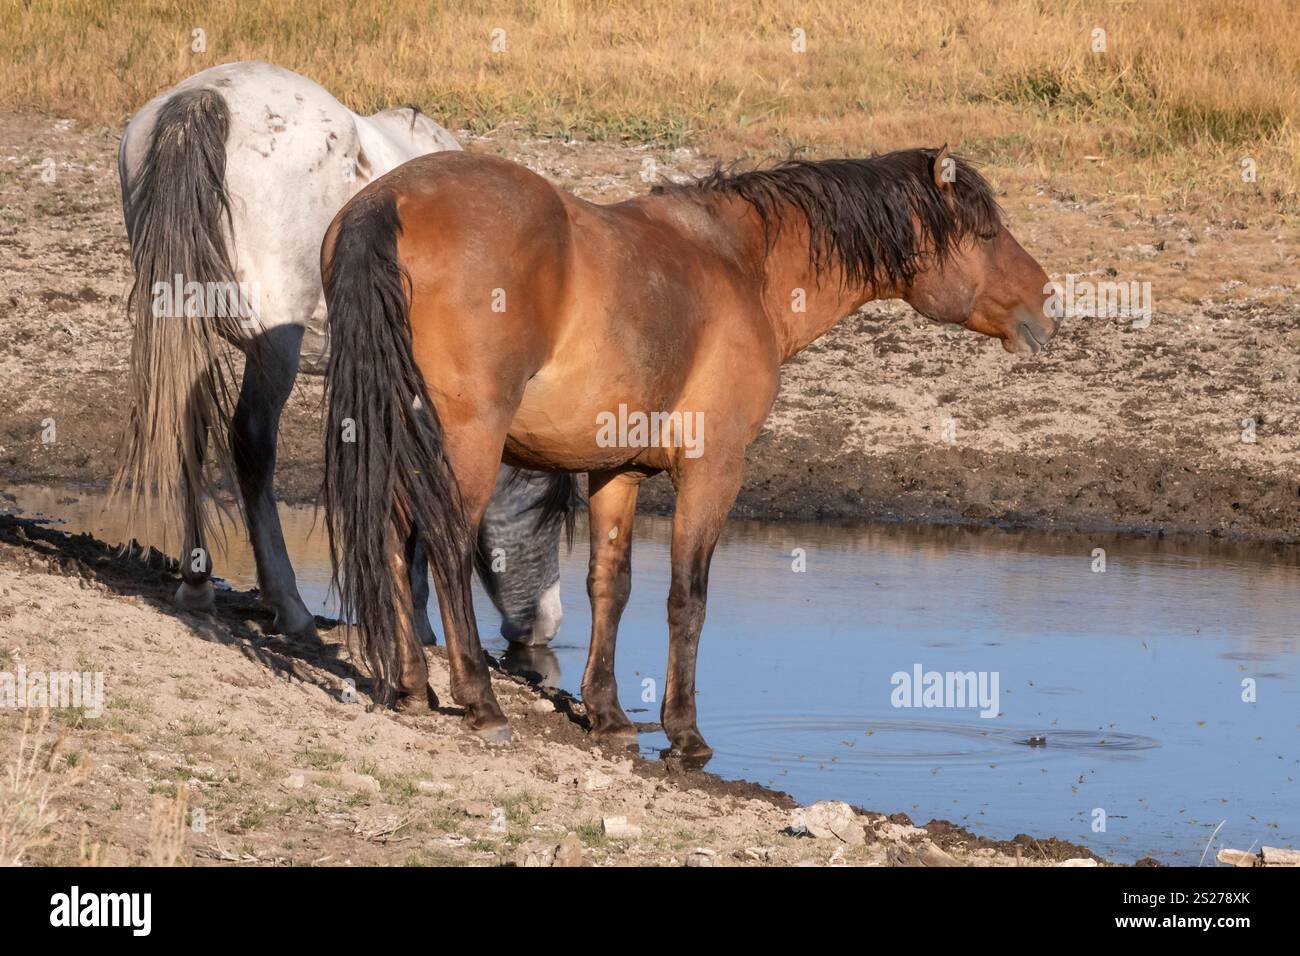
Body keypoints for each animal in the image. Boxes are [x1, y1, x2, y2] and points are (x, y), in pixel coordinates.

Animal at [113, 61, 569, 651]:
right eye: (550, 508)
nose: (546, 626)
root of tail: (206, 97)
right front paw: (420, 620)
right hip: (273, 346)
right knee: (251, 445)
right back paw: (290, 607)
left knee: (185, 427)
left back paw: (196, 585)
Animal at [321, 145, 1059, 752]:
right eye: (986, 234)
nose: (1049, 302)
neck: (739, 263)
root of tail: (390, 201)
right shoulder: (714, 470)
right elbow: (689, 596)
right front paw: (684, 731)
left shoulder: (617, 471)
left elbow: (610, 587)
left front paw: (609, 715)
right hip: (468, 443)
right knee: (444, 544)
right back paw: (479, 700)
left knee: (389, 535)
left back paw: (412, 686)